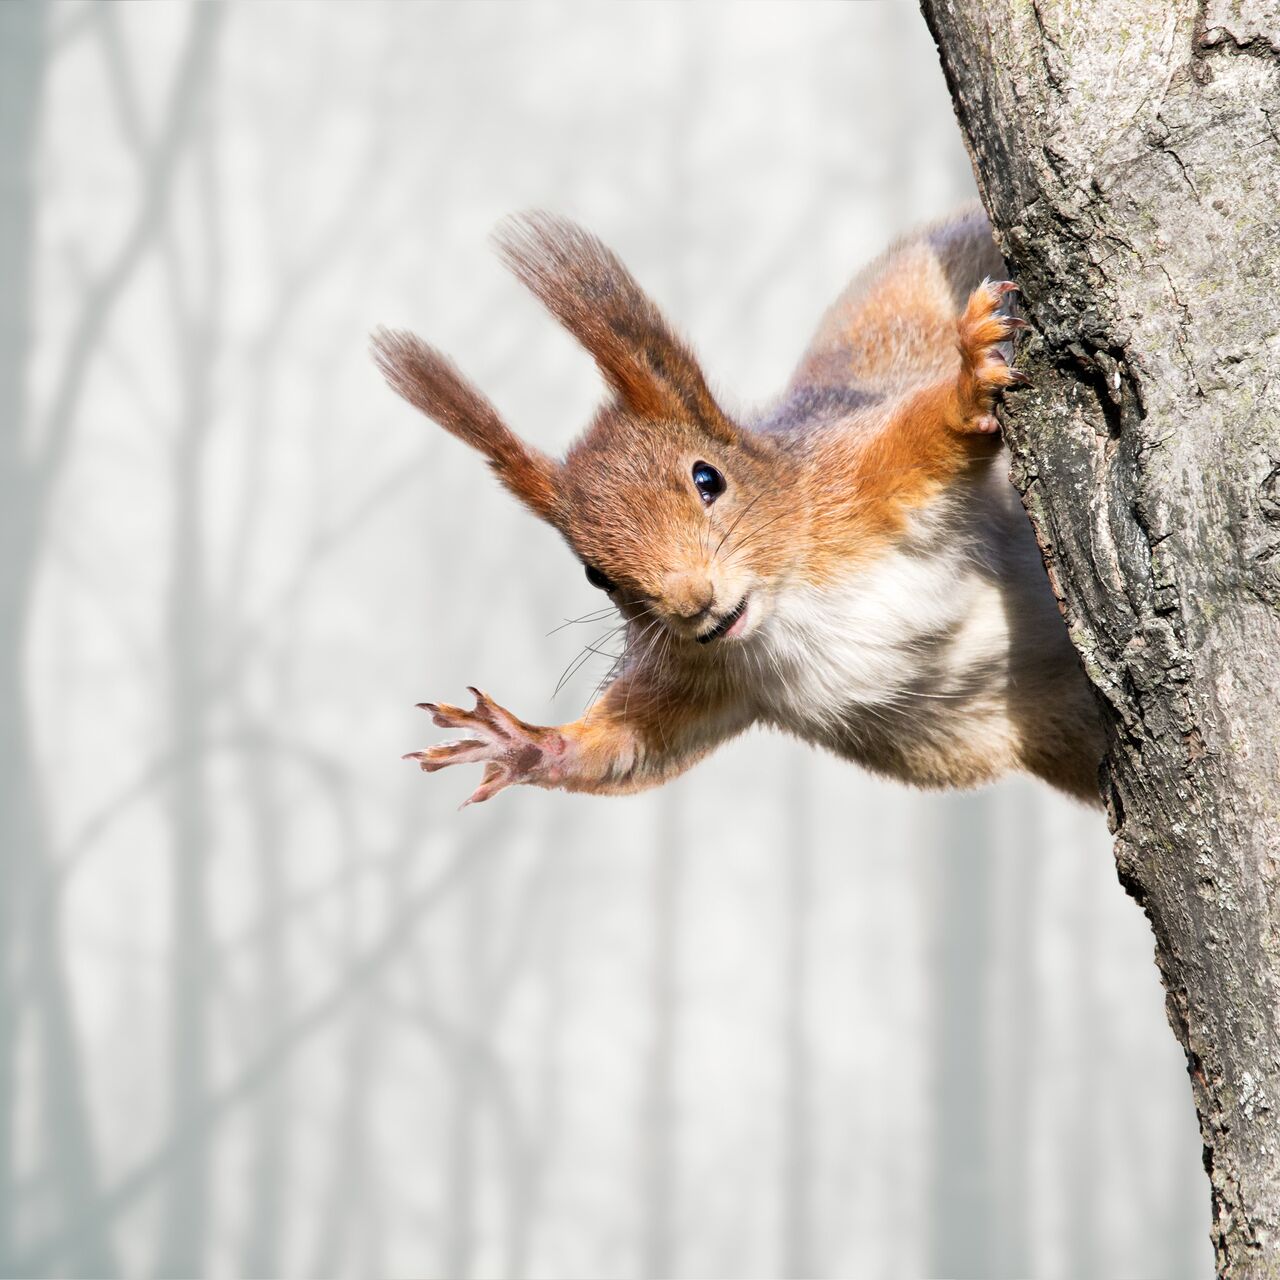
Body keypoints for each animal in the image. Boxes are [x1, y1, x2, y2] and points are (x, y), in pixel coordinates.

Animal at [371, 209, 1100, 808]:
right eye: (594, 575)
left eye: (708, 478)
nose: (693, 605)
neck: (788, 606)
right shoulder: (705, 675)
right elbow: (632, 747)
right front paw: (523, 743)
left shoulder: (853, 484)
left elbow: (924, 434)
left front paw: (970, 380)